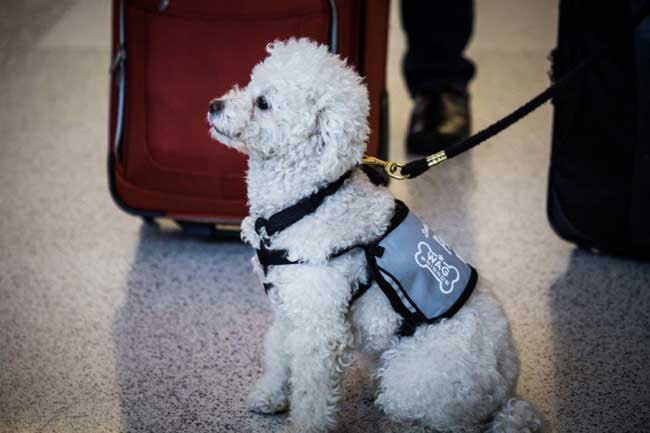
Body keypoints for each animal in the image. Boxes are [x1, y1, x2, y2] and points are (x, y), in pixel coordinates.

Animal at [206, 38, 536, 432]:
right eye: (251, 84)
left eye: (264, 103)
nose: (213, 105)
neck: (311, 197)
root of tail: (505, 394)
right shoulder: (294, 307)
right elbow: (279, 354)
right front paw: (271, 395)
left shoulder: (321, 326)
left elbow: (312, 391)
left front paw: (305, 424)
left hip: (412, 379)